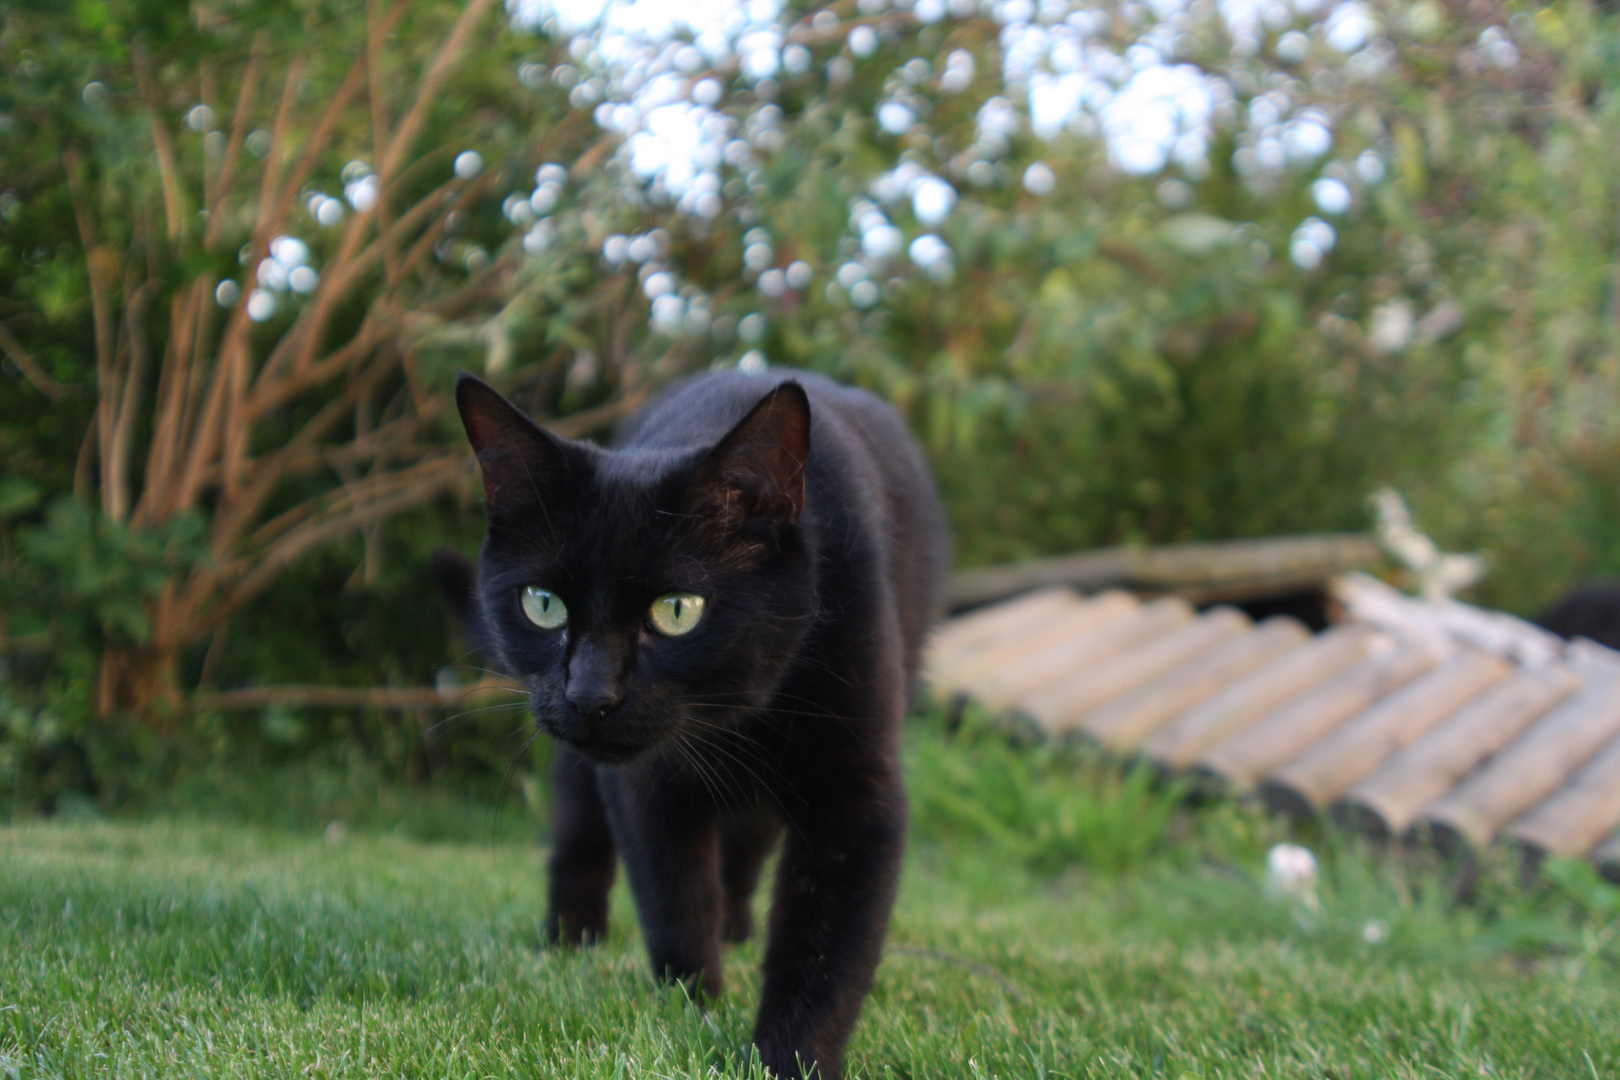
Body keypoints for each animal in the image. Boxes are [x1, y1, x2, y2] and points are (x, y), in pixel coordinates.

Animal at [443, 367, 946, 1075]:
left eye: (677, 610)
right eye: (542, 604)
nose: (590, 694)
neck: (732, 722)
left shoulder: (854, 789)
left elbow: (826, 945)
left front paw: (790, 1058)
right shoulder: (645, 784)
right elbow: (673, 896)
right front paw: (691, 1009)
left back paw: (735, 930)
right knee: (580, 834)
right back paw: (572, 943)